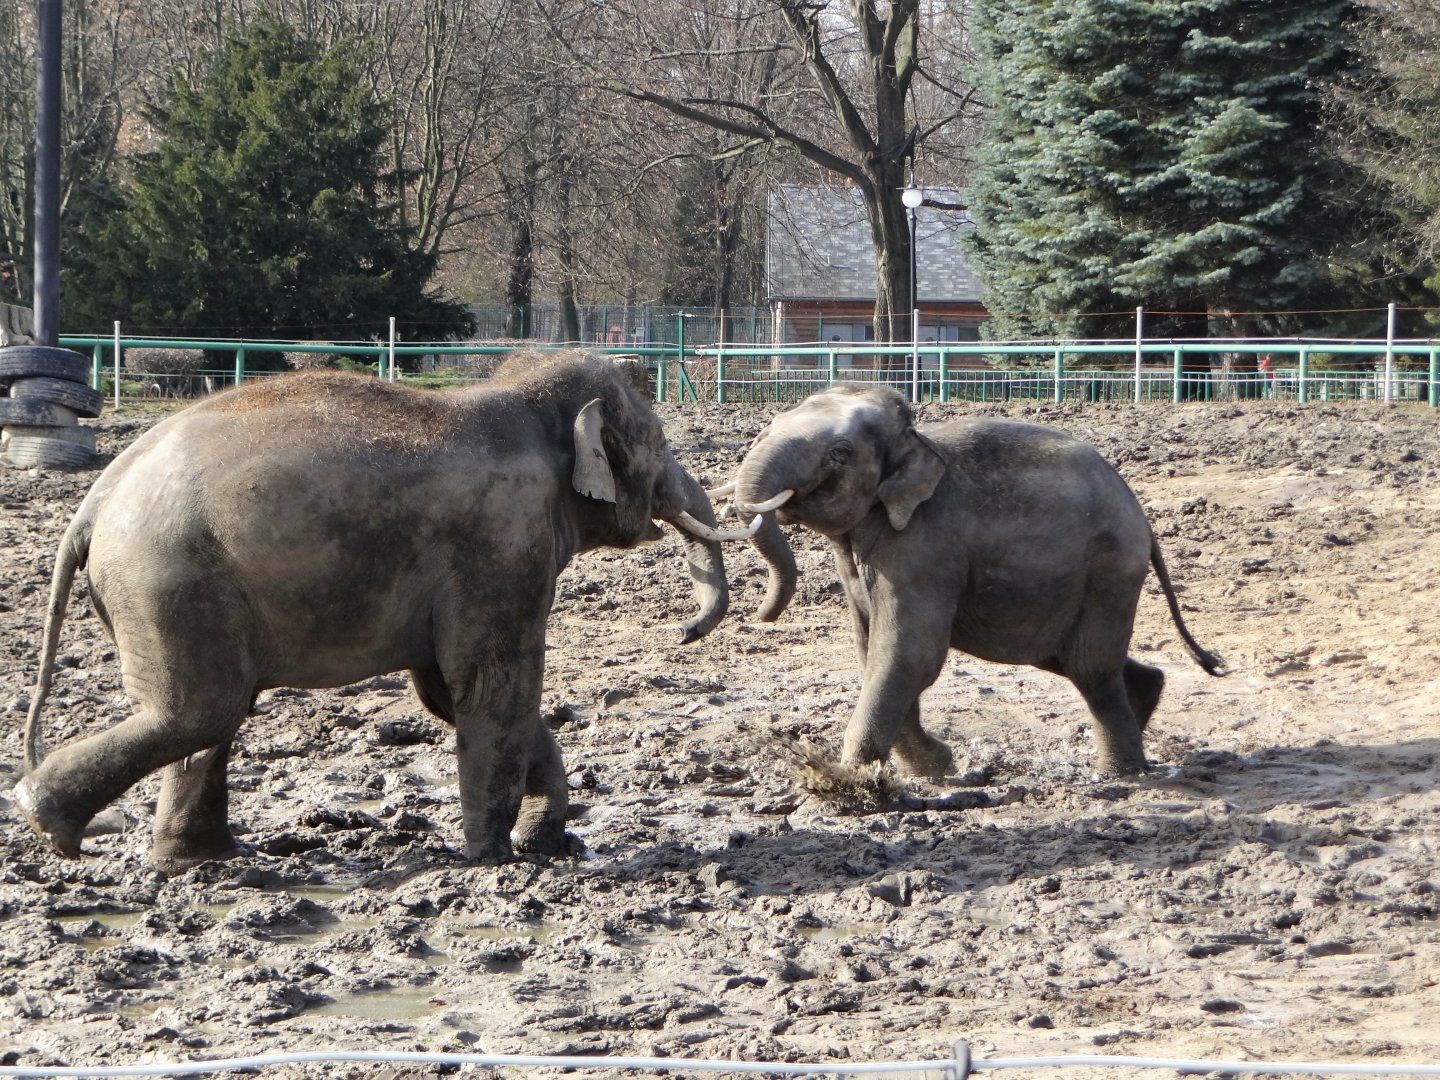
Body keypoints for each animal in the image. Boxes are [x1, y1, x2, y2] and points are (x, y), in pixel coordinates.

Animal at [14, 353, 731, 871]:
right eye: (660, 444)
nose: (686, 631)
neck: (522, 391)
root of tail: (93, 501)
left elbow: (447, 691)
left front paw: (550, 844)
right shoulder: (504, 543)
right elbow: (489, 685)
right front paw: (498, 862)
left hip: (170, 587)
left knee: (210, 715)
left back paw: (198, 862)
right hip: (168, 577)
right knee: (200, 710)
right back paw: (44, 820)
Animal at [724, 383, 1222, 780]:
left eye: (839, 453)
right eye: (770, 426)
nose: (761, 615)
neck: (915, 444)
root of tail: (1143, 519)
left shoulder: (923, 548)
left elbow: (908, 653)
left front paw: (851, 782)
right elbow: (873, 652)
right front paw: (937, 769)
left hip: (1109, 571)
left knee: (1090, 667)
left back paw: (1118, 774)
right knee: (1070, 657)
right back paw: (1144, 708)